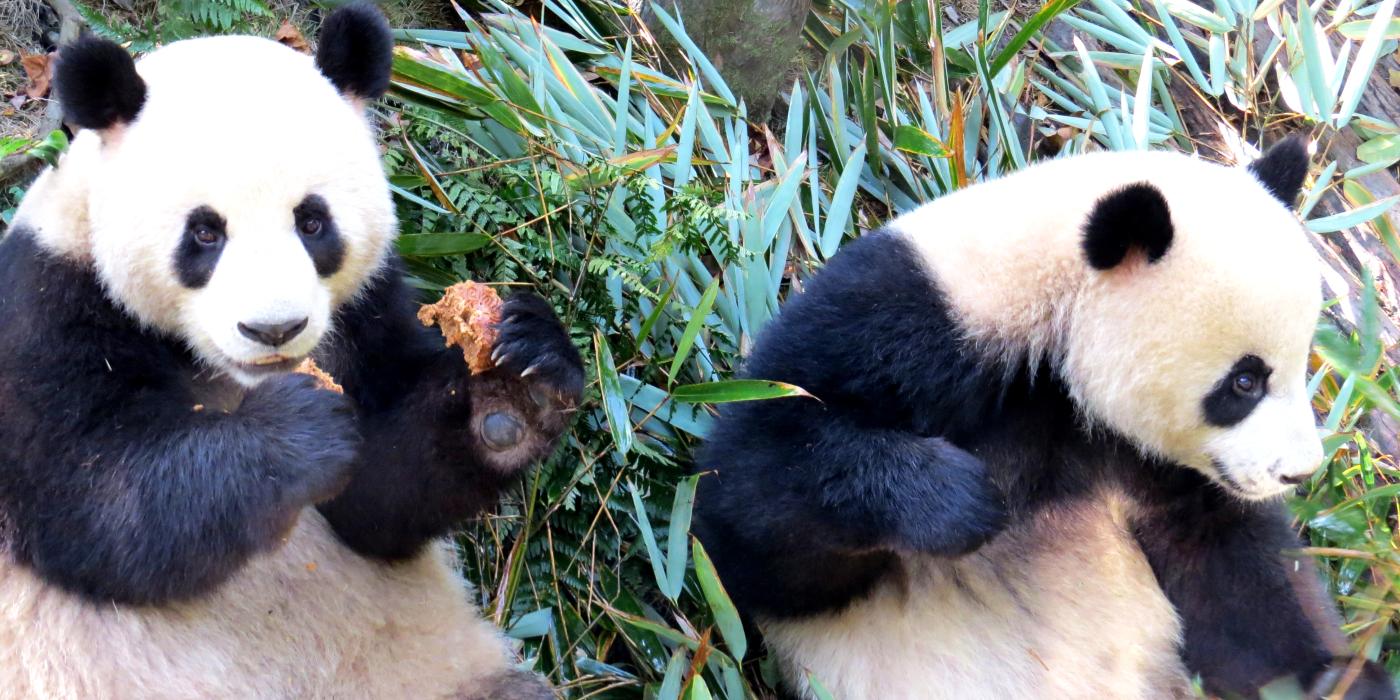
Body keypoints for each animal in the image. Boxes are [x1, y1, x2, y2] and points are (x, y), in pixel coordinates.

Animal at [0, 6, 582, 700]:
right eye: (205, 232)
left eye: (312, 222)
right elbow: (99, 506)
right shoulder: (44, 309)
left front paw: (517, 385)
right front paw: (295, 435)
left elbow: (378, 499)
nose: (274, 330)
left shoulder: (361, 310)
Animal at [694, 139, 1394, 697]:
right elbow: (746, 513)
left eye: (1302, 366)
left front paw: (1338, 680)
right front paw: (956, 501)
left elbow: (1234, 585)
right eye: (1244, 382)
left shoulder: (1158, 465)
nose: (1298, 473)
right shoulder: (905, 324)